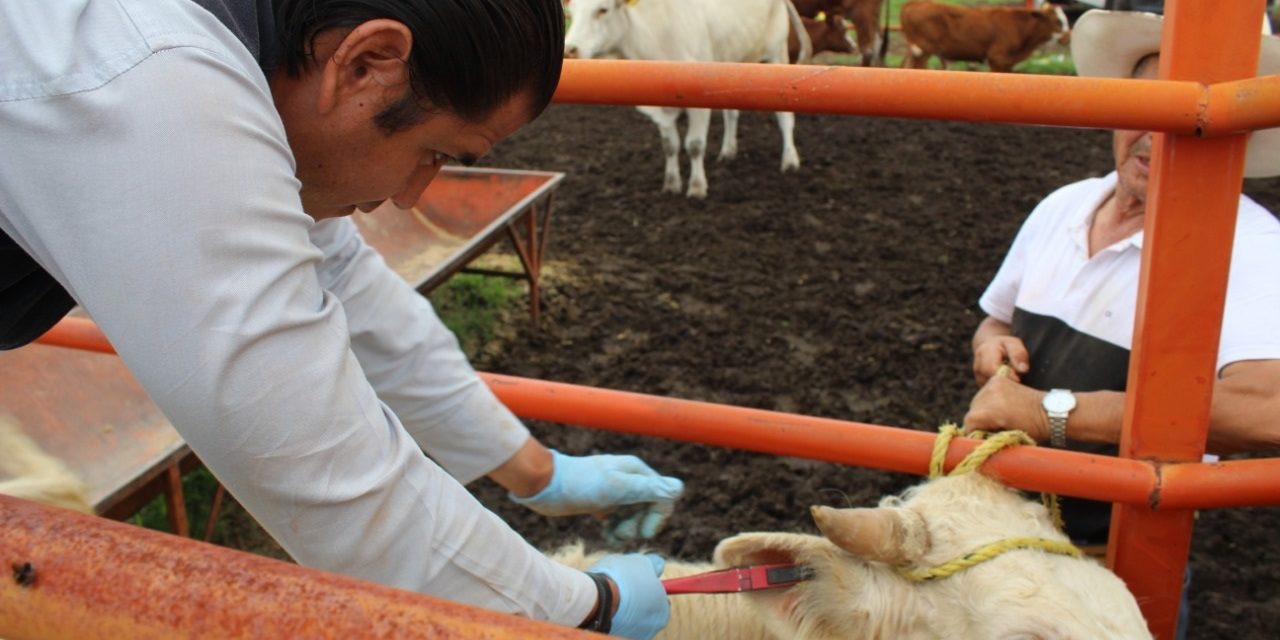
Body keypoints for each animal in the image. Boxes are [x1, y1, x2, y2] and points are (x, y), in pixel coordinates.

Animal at [568, 0, 814, 197]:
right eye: (571, 10)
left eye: (603, 9)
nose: (570, 49)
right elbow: (670, 145)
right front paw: (671, 184)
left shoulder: (699, 103)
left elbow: (694, 145)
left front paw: (696, 187)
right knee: (731, 114)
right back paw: (728, 151)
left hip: (778, 56)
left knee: (784, 117)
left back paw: (790, 160)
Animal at [901, 1, 1070, 72]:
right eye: (1057, 21)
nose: (1068, 38)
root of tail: (912, 4)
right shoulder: (997, 58)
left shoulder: (1008, 63)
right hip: (923, 50)